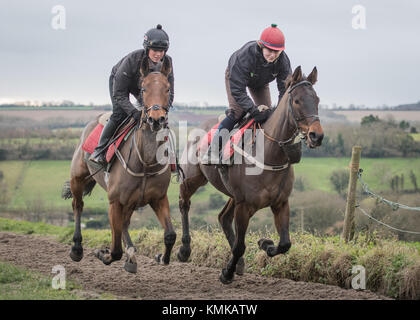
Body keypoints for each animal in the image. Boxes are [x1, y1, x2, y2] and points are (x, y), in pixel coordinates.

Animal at [62, 57, 176, 272]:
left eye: (167, 89)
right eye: (143, 88)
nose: (156, 119)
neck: (145, 162)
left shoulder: (158, 198)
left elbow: (170, 235)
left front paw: (160, 257)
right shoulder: (114, 201)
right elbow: (115, 250)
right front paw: (102, 253)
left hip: (130, 202)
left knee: (125, 223)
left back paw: (131, 257)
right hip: (78, 178)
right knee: (78, 205)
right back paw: (77, 249)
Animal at [177, 66, 324, 284]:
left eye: (317, 99)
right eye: (297, 100)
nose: (317, 135)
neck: (270, 154)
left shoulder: (280, 203)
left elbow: (285, 243)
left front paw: (265, 244)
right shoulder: (245, 206)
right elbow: (240, 246)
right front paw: (226, 273)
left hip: (232, 194)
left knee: (223, 217)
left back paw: (238, 263)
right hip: (193, 178)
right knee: (184, 202)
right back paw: (184, 249)